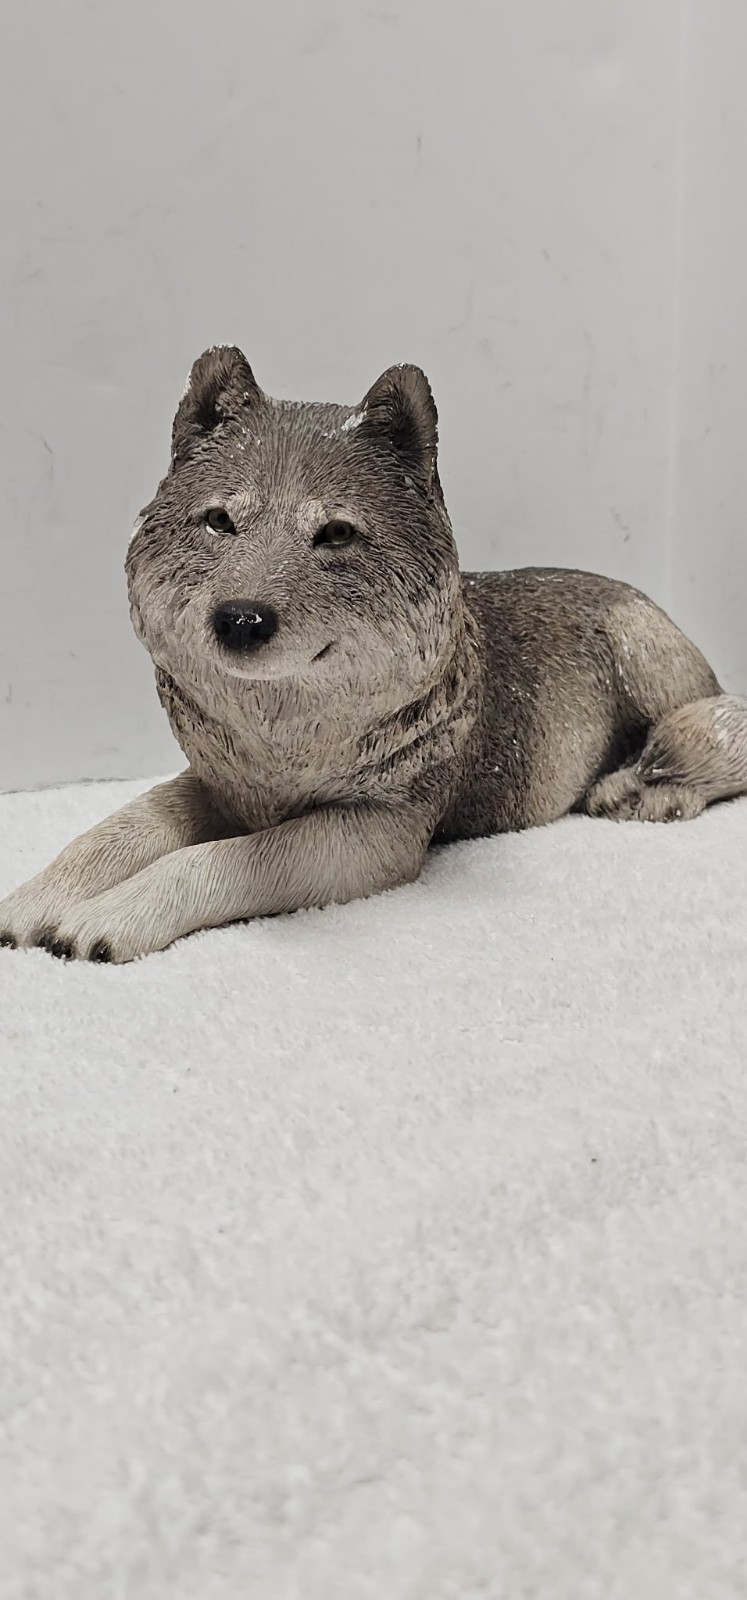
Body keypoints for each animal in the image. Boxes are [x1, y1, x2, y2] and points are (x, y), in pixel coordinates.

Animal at [2, 346, 746, 963]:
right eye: (219, 522)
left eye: (334, 535)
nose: (240, 621)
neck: (281, 734)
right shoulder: (218, 785)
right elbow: (112, 832)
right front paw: (35, 900)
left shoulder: (375, 835)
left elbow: (223, 860)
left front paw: (111, 915)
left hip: (645, 653)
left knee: (709, 739)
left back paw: (642, 789)